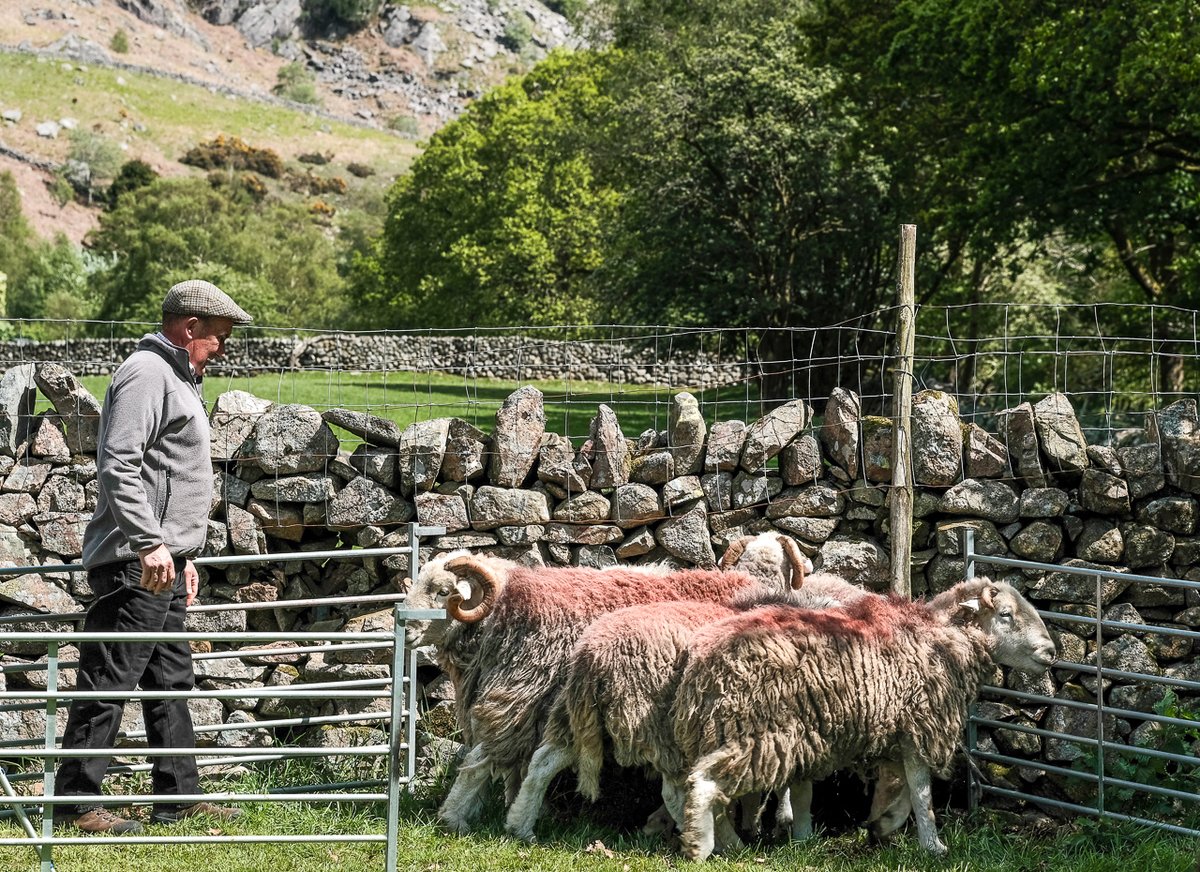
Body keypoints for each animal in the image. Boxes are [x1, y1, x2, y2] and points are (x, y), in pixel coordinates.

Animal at [681, 575, 1056, 854]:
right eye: (1005, 614)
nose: (1051, 651)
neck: (940, 640)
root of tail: (703, 661)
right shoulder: (920, 722)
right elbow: (921, 788)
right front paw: (932, 845)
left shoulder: (896, 729)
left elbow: (903, 786)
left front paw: (882, 825)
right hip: (758, 732)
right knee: (705, 784)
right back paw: (711, 846)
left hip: (737, 730)